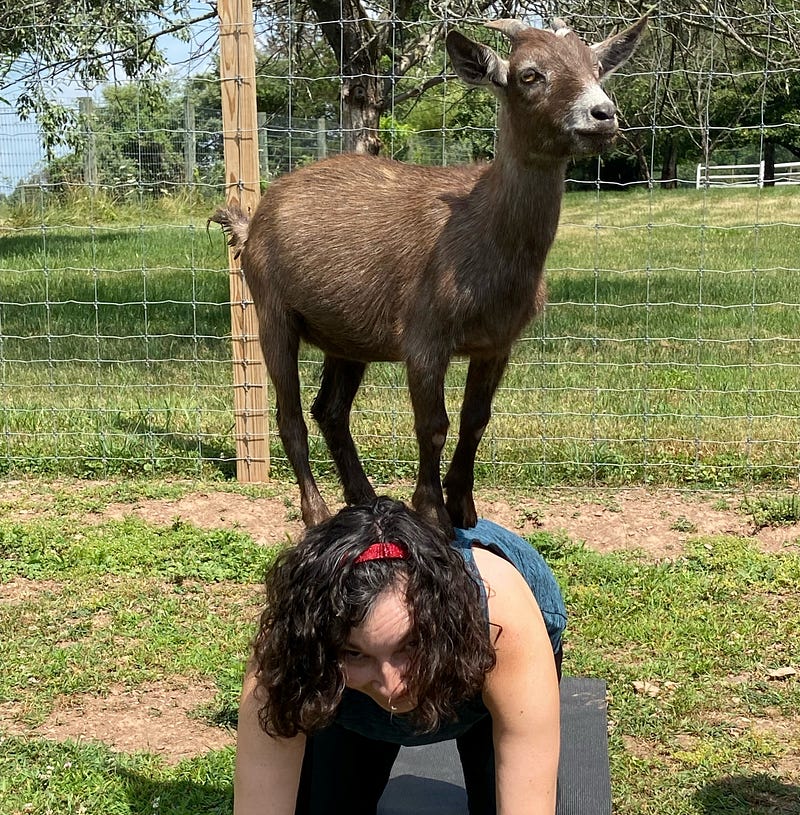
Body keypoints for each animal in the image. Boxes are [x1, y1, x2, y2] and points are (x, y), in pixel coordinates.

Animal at [209, 15, 648, 536]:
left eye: (597, 68)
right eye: (529, 74)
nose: (603, 115)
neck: (480, 226)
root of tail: (251, 223)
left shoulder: (496, 342)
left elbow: (476, 419)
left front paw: (464, 506)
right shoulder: (424, 337)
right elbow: (433, 425)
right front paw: (433, 512)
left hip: (346, 338)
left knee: (330, 411)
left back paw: (364, 498)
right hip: (272, 311)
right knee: (289, 414)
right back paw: (316, 513)